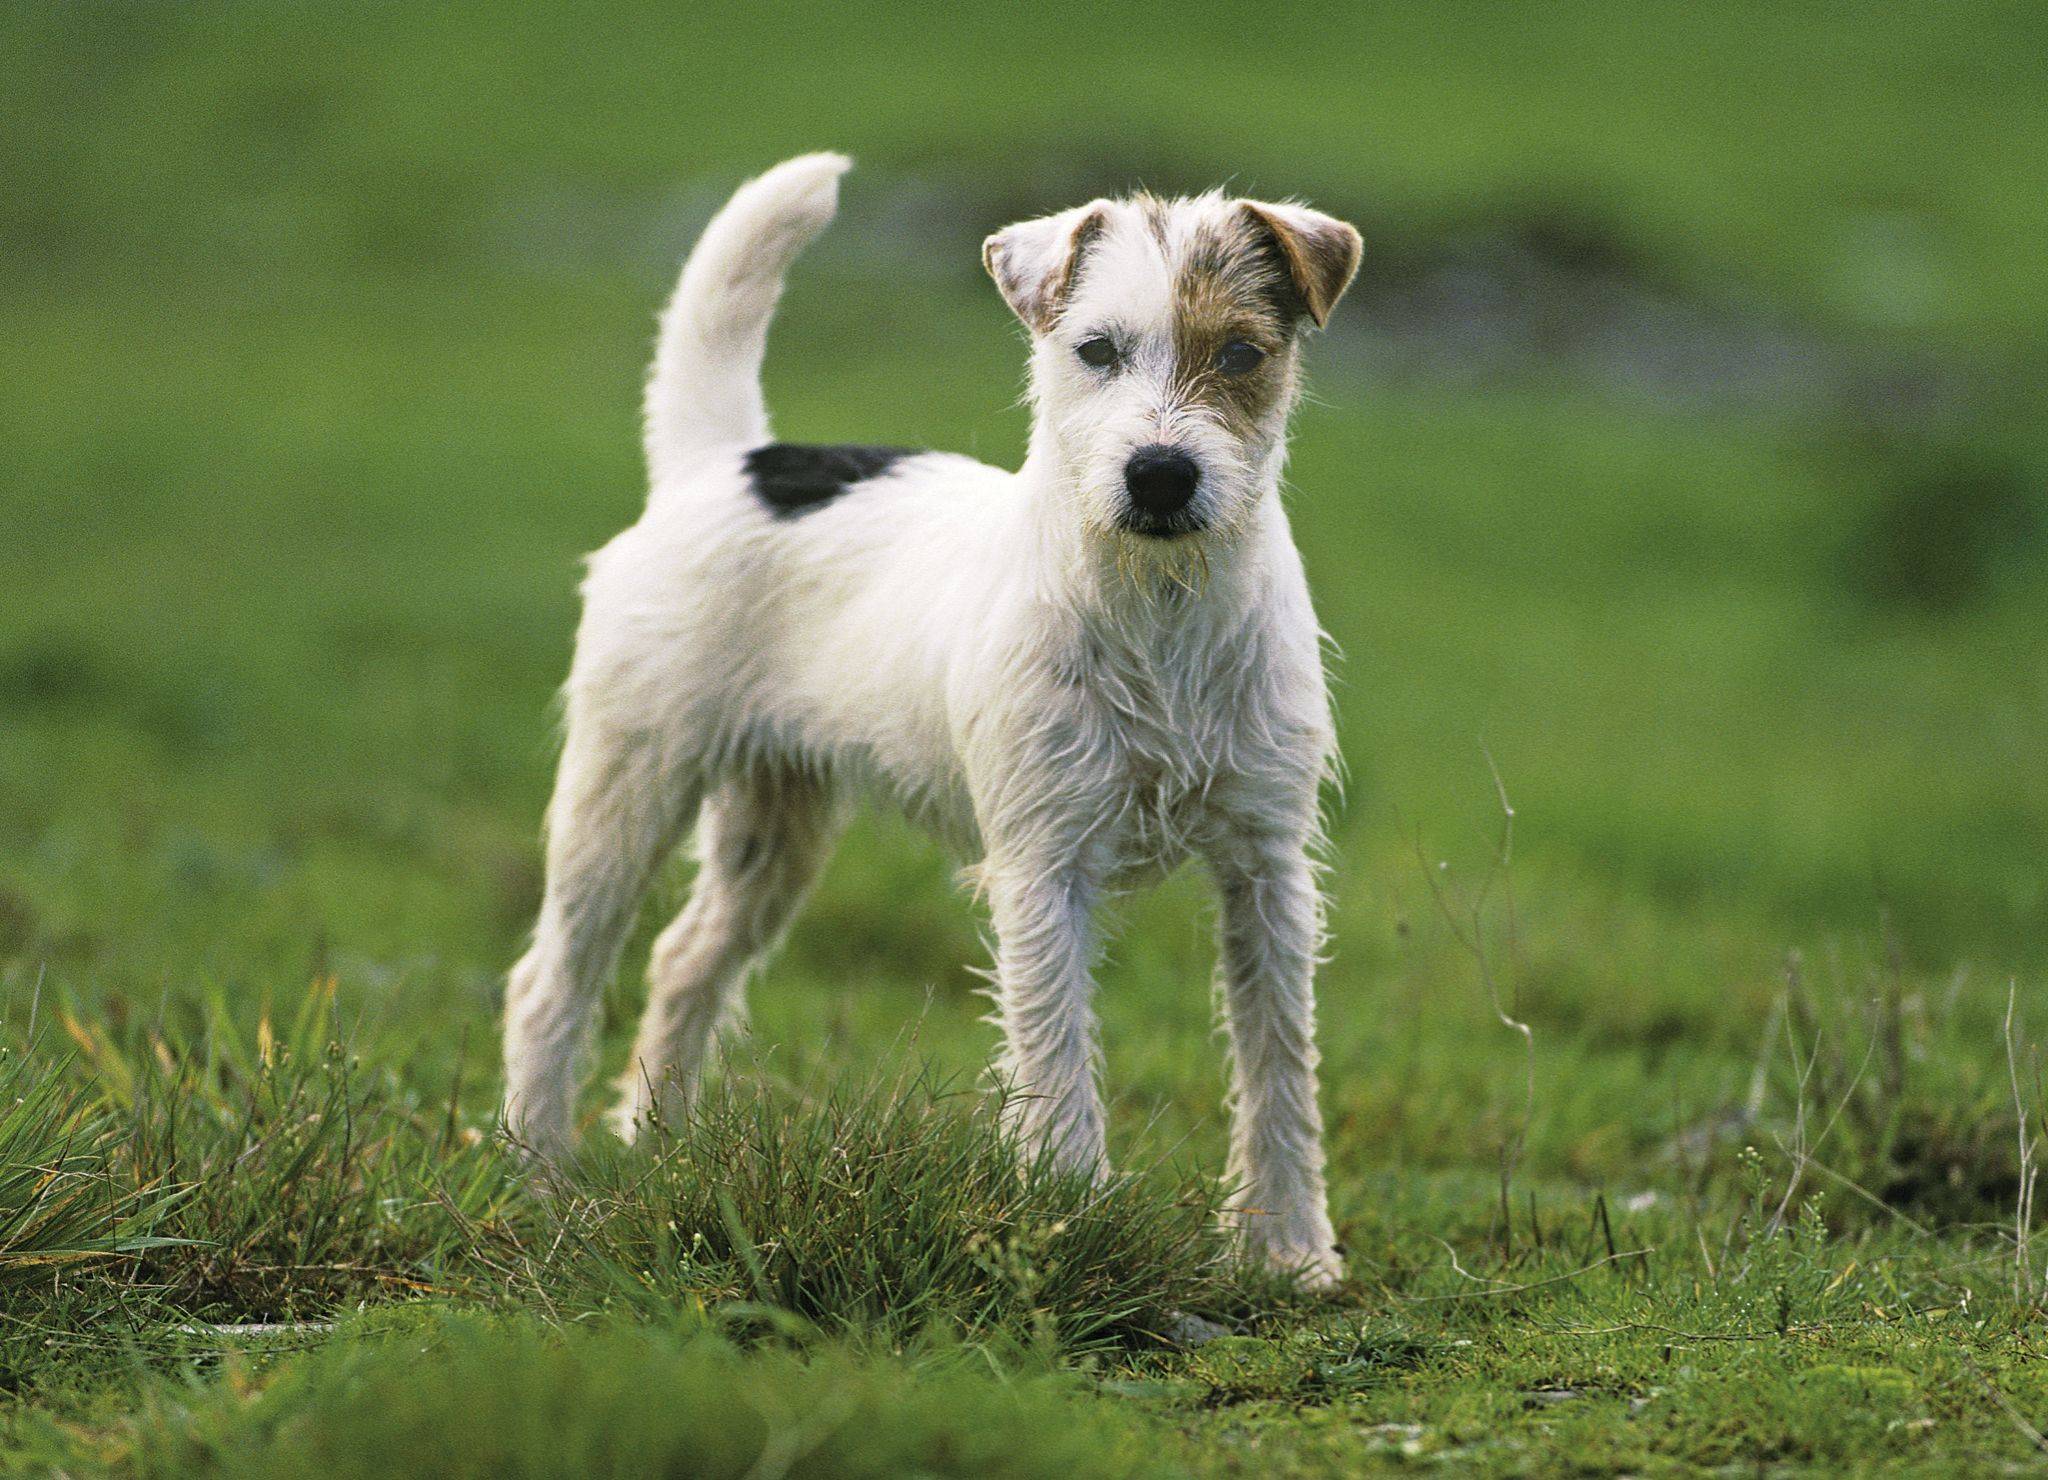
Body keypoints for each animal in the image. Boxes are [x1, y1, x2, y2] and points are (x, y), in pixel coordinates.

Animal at [499, 153, 1359, 1285]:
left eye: (1241, 353)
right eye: (1095, 351)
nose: (1161, 475)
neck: (1158, 607)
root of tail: (724, 460)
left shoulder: (1266, 869)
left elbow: (1279, 1063)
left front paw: (1289, 1250)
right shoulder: (1043, 868)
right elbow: (1055, 1054)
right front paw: (1068, 1223)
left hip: (774, 826)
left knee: (683, 961)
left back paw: (663, 1150)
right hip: (626, 789)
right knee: (549, 981)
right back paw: (537, 1176)